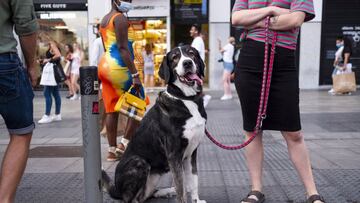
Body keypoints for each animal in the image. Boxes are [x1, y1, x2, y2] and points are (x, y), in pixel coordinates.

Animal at [102, 46, 207, 203]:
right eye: (175, 58)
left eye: (192, 53)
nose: (187, 63)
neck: (186, 99)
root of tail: (117, 190)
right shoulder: (174, 154)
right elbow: (181, 187)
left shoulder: (192, 152)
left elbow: (193, 180)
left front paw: (196, 200)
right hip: (139, 162)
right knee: (131, 199)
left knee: (145, 195)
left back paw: (166, 191)